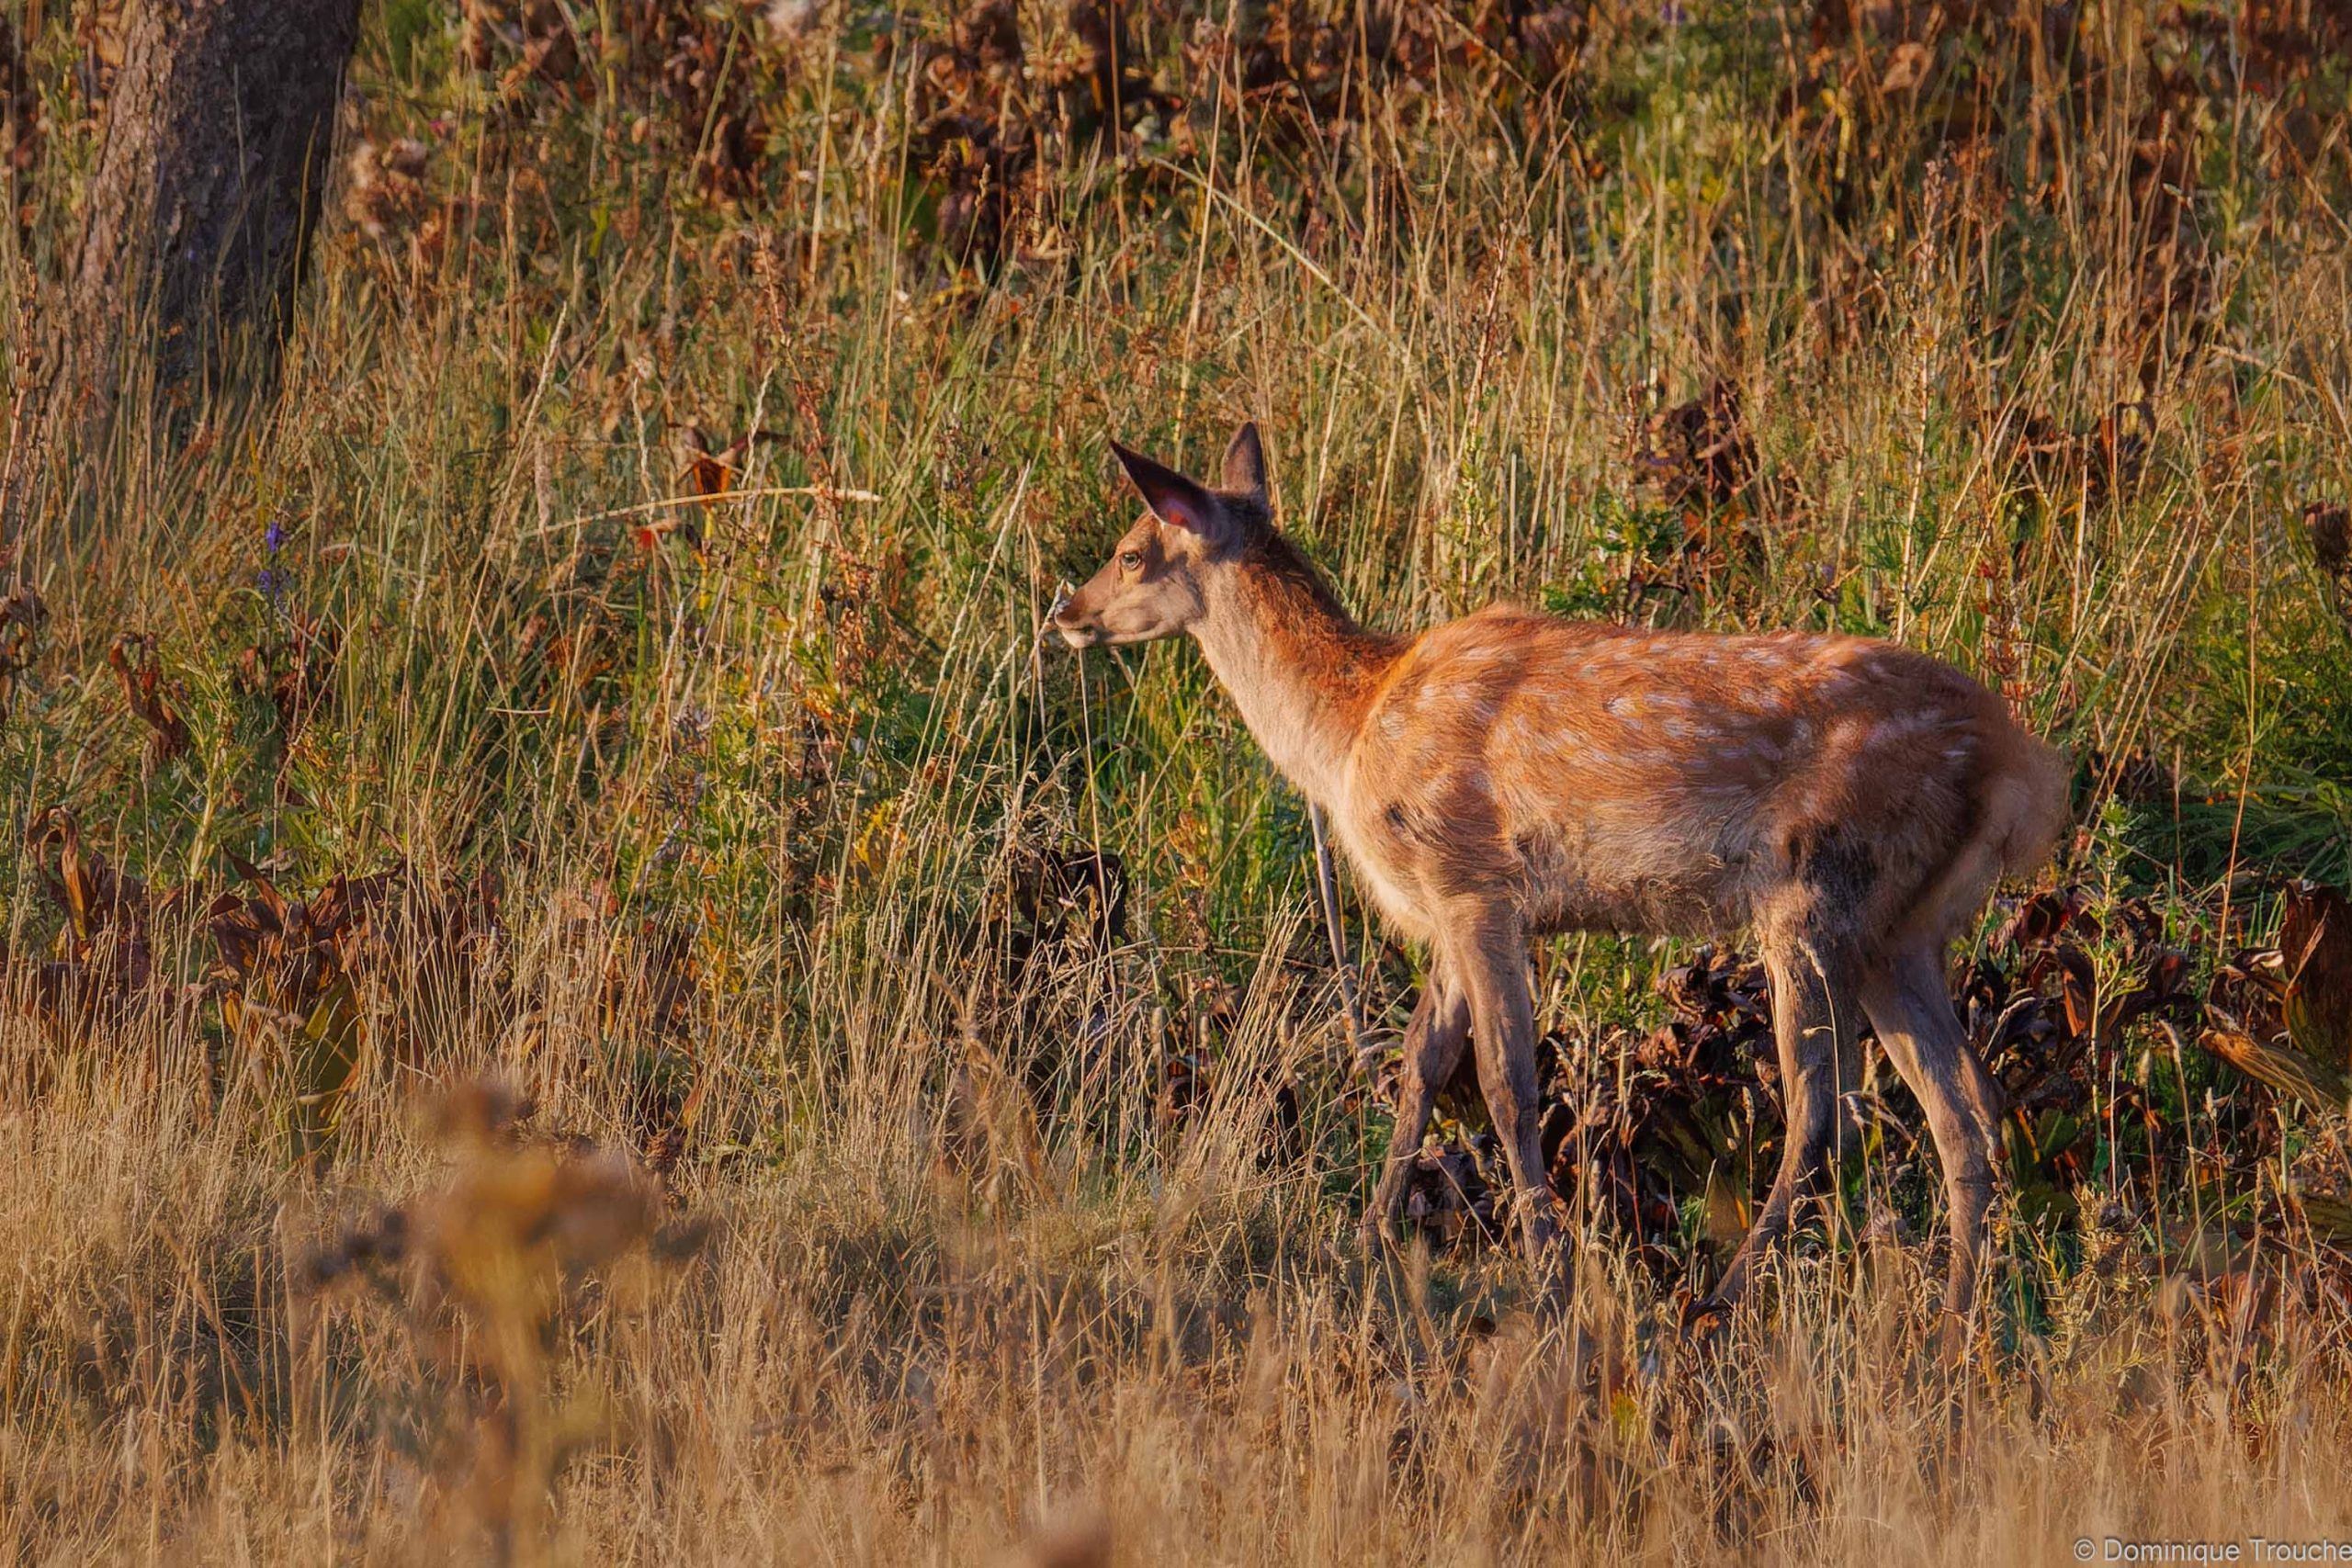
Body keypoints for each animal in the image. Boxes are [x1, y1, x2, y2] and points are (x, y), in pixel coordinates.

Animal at [1051, 422, 2070, 1326]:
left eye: (1133, 552)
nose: (1066, 611)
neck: (1354, 726)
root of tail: (2016, 767)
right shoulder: (1446, 905)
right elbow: (1420, 1065)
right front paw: (1371, 1234)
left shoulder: (1474, 881)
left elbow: (1506, 1083)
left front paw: (1549, 1270)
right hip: (1902, 929)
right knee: (1967, 1109)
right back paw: (1957, 1321)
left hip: (1817, 893)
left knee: (1828, 1117)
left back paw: (1720, 1303)